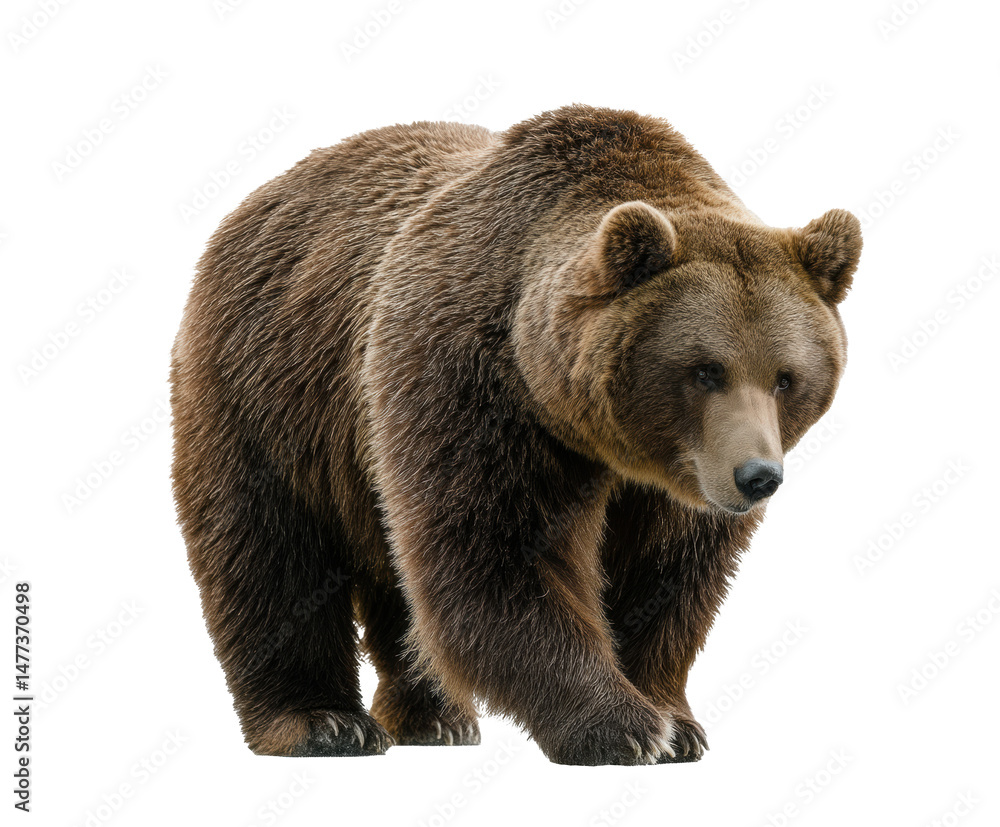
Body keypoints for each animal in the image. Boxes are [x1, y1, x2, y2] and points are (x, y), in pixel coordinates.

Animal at [170, 104, 861, 765]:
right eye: (706, 370)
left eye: (786, 378)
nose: (757, 476)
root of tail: (254, 201)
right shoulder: (470, 385)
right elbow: (493, 553)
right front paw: (624, 728)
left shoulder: (673, 479)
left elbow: (664, 573)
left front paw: (676, 722)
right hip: (273, 388)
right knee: (271, 551)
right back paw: (323, 721)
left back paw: (435, 718)